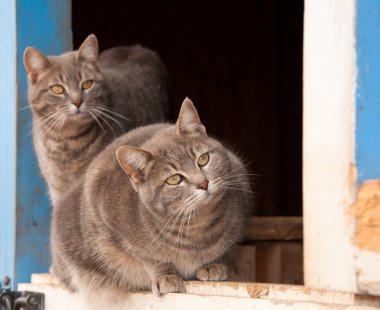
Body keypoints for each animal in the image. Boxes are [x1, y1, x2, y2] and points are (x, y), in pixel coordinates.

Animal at [23, 35, 171, 205]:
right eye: (57, 89)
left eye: (87, 84)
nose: (77, 101)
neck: (67, 142)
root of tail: (135, 47)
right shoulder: (56, 189)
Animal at [51, 98, 252, 300]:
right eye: (174, 179)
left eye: (203, 159)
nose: (203, 183)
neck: (199, 226)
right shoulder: (111, 223)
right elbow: (151, 258)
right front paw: (165, 276)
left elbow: (222, 249)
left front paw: (211, 263)